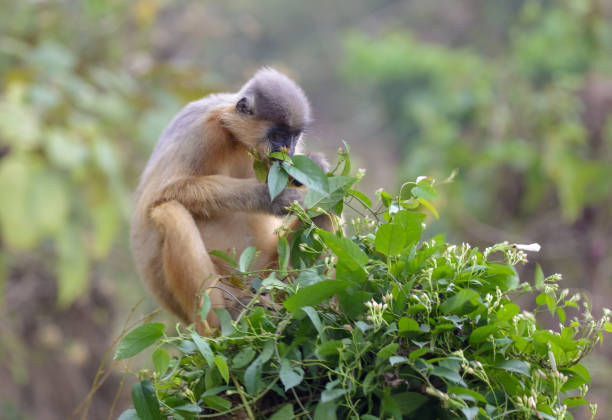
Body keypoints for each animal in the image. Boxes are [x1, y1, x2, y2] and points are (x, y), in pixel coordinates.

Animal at [130, 67, 334, 334]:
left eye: (293, 137)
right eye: (278, 135)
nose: (287, 150)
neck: (235, 138)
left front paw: (314, 166)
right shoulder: (202, 130)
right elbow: (161, 195)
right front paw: (271, 199)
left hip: (269, 276)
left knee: (327, 206)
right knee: (169, 211)